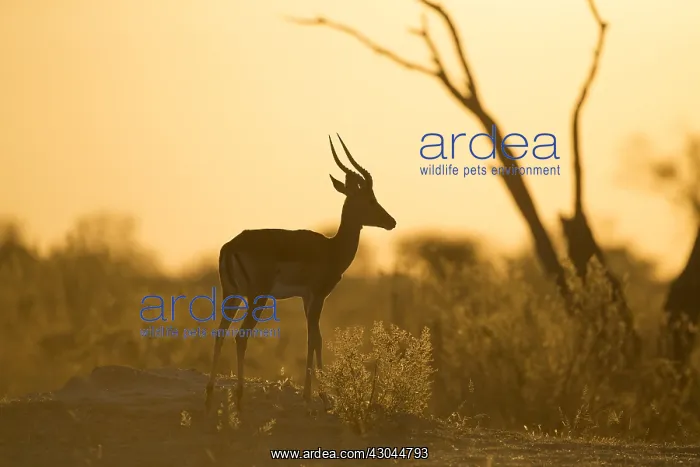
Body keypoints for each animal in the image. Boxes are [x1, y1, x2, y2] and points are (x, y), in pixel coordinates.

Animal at [205, 134, 396, 412]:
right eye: (370, 199)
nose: (392, 222)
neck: (332, 248)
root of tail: (231, 245)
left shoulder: (306, 298)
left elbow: (313, 338)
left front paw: (316, 394)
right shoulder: (318, 296)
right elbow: (314, 338)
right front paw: (319, 396)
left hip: (232, 295)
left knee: (220, 334)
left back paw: (209, 396)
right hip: (257, 298)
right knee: (240, 337)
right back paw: (239, 398)